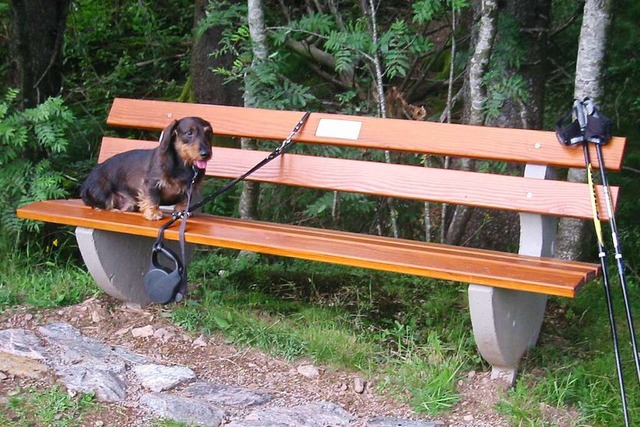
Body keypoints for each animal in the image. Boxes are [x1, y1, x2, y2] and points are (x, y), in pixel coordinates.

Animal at [80, 117, 212, 221]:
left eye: (207, 133)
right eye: (189, 133)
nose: (206, 154)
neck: (183, 165)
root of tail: (84, 186)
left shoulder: (189, 187)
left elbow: (184, 200)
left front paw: (182, 211)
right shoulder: (151, 183)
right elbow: (152, 198)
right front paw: (153, 213)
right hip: (102, 192)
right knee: (100, 205)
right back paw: (113, 210)